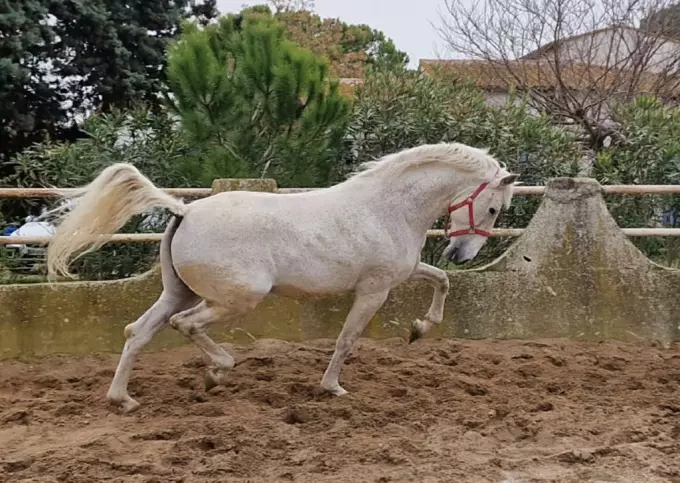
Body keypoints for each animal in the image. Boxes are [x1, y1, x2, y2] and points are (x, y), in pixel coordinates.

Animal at [46, 142, 519, 413]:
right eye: (495, 208)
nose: (460, 253)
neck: (388, 208)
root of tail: (185, 210)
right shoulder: (374, 289)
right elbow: (347, 339)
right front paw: (332, 388)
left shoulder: (400, 274)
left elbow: (440, 280)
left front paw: (420, 329)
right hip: (237, 297)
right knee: (186, 326)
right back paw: (216, 372)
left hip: (178, 292)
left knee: (137, 332)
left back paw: (123, 399)